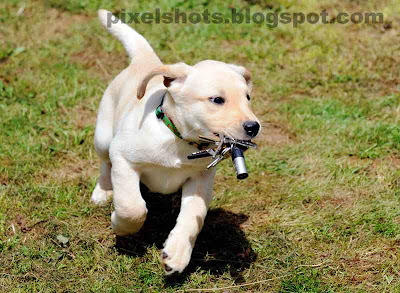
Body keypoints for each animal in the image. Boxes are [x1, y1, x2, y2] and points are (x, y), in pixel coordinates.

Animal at [93, 9, 262, 274]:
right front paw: (120, 225)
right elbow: (132, 206)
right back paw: (102, 191)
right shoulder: (123, 157)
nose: (253, 127)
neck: (180, 141)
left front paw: (177, 253)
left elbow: (194, 217)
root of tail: (146, 62)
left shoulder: (200, 179)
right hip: (103, 137)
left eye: (247, 98)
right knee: (104, 163)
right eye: (217, 100)